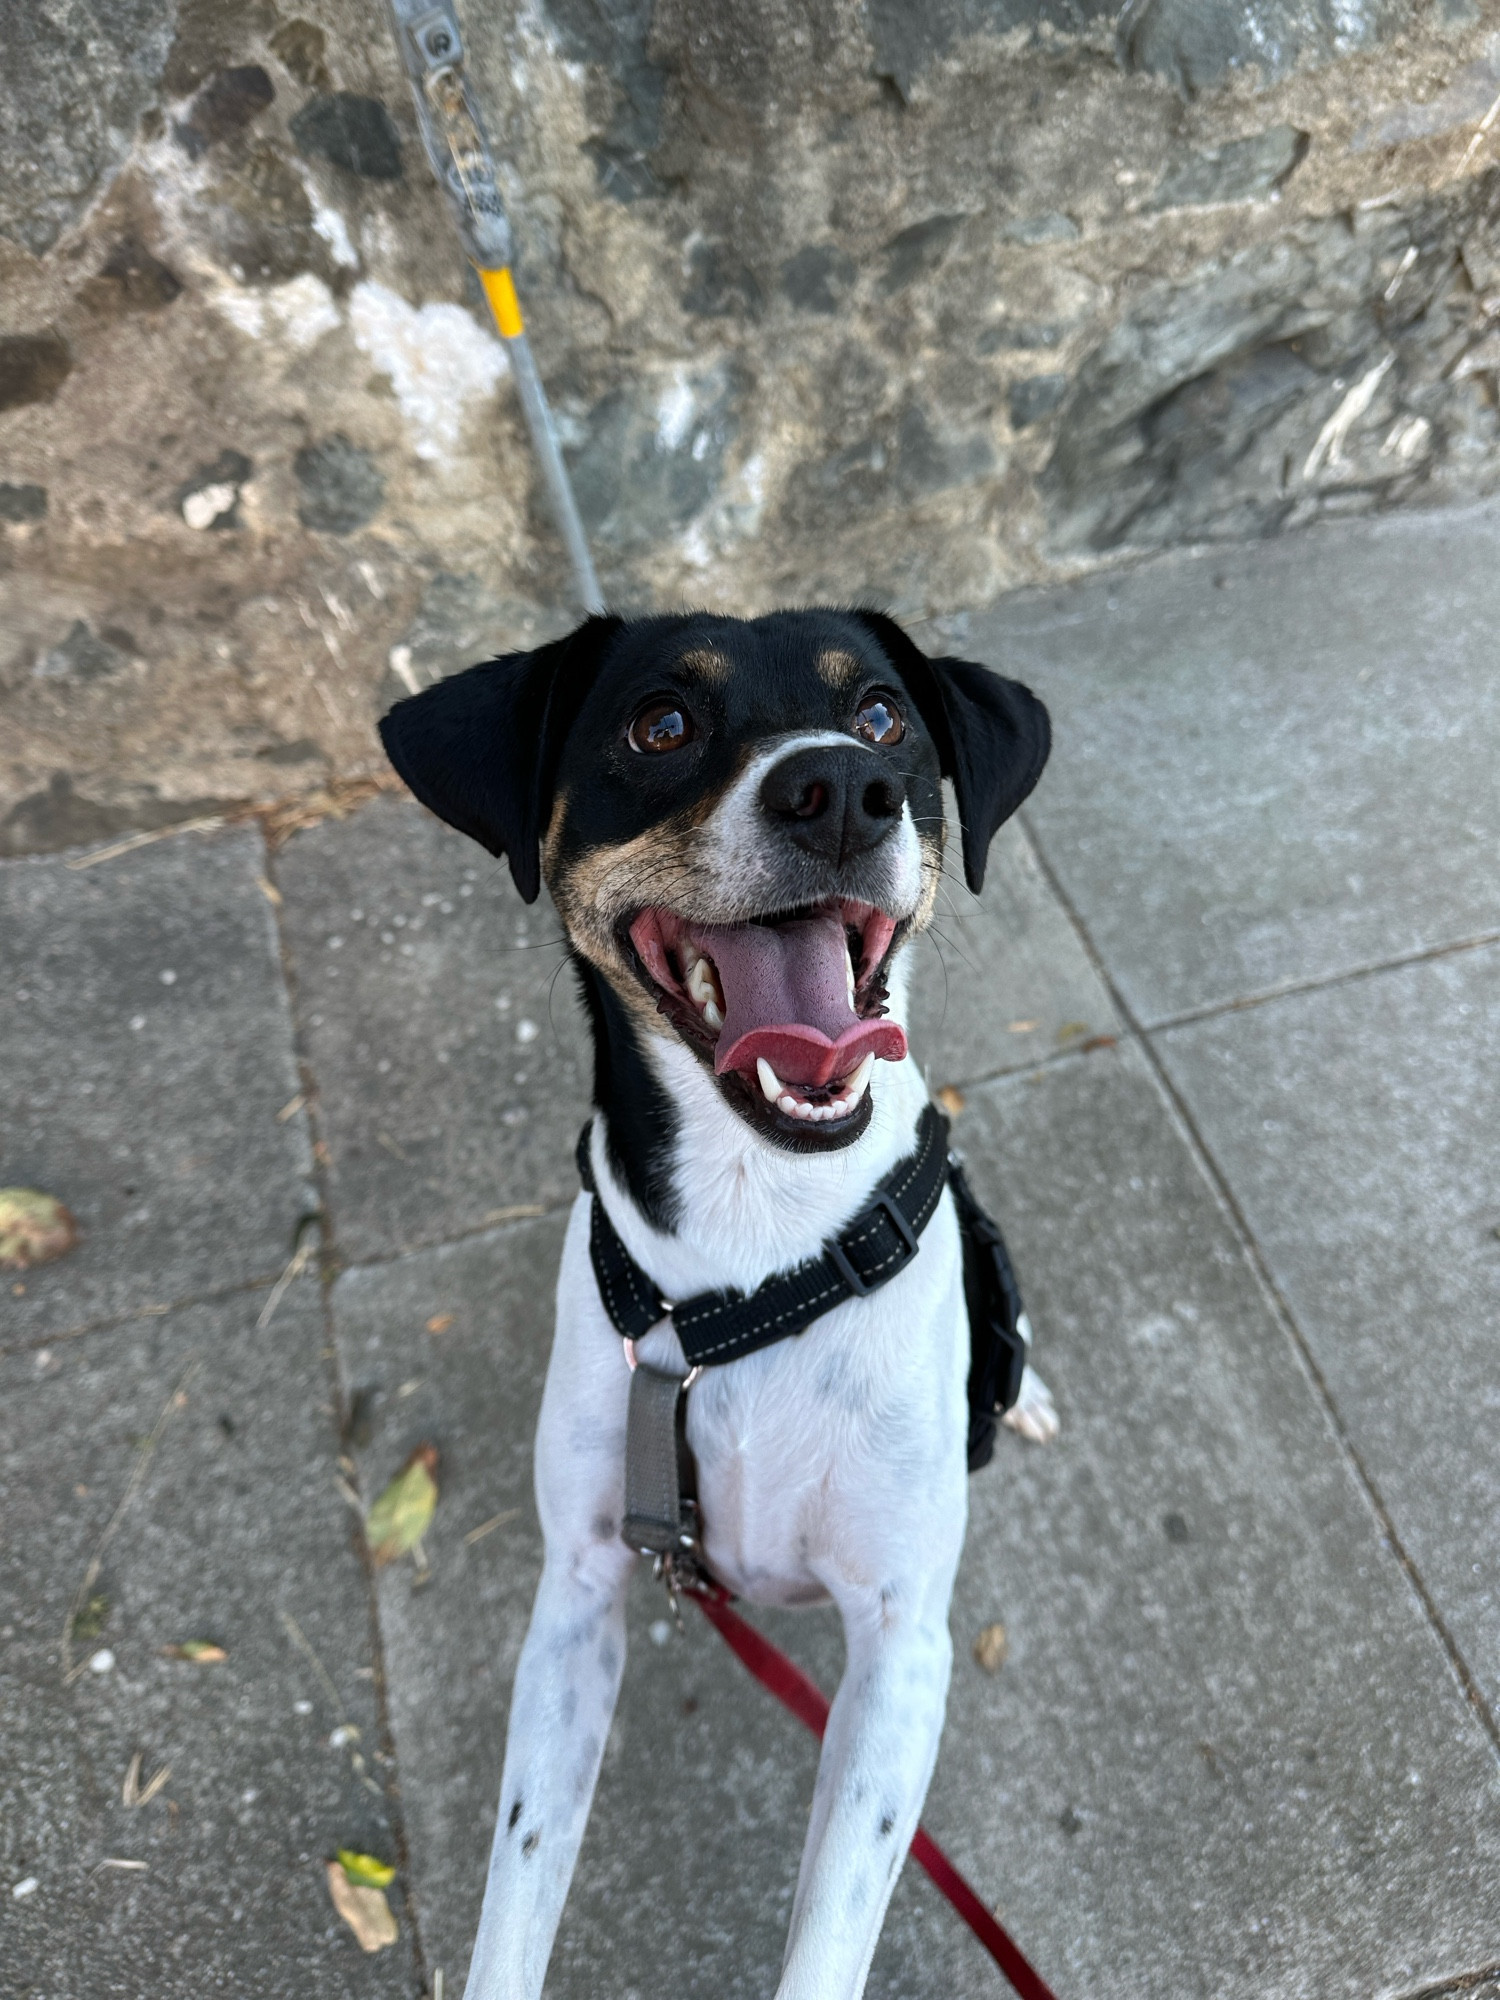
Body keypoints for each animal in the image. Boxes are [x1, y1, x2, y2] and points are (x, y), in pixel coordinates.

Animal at [378, 608, 1056, 2000]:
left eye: (883, 717)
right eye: (661, 723)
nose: (841, 790)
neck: (761, 1246)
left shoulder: (900, 1646)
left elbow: (829, 1937)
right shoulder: (577, 1596)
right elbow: (517, 1889)